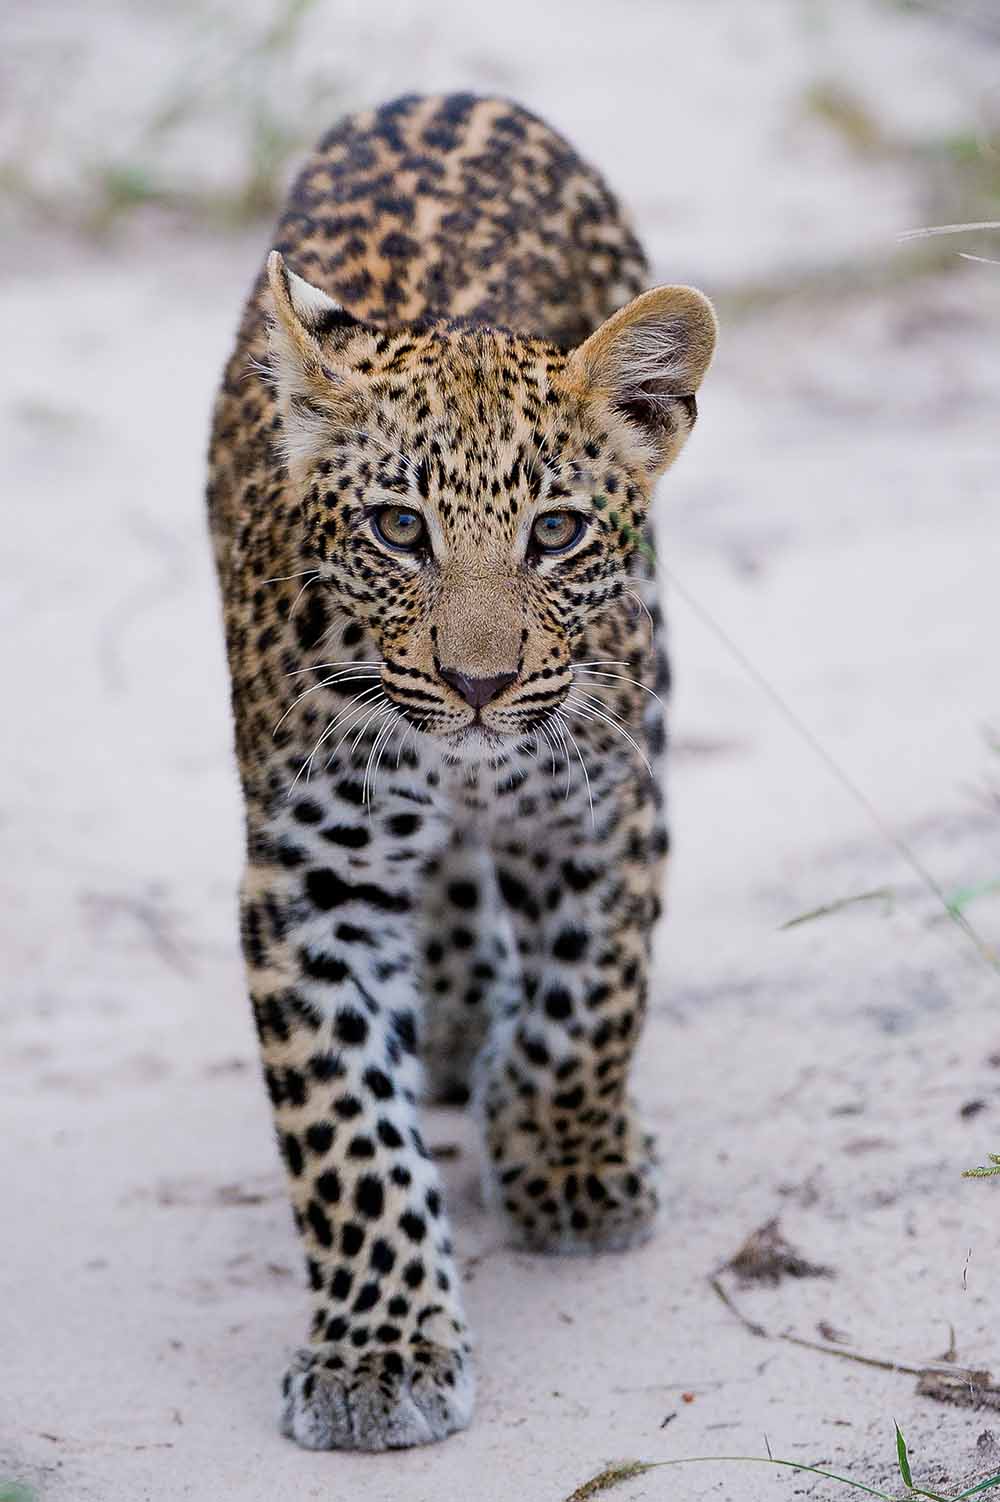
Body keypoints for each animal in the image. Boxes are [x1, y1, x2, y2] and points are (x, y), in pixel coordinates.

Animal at [207, 91, 716, 1452]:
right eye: (399, 529)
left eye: (555, 531)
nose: (480, 684)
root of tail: (439, 93)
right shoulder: (310, 878)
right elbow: (342, 1130)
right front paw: (378, 1350)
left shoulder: (602, 810)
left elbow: (591, 998)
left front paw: (564, 1154)